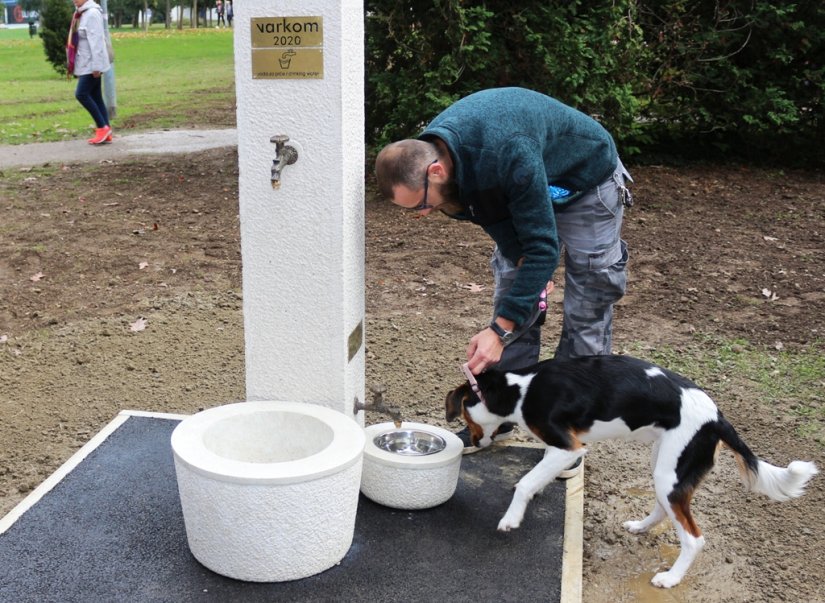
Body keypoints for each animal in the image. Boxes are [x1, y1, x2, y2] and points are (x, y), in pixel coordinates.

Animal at [448, 356, 816, 588]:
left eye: (463, 415)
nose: (474, 441)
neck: (520, 390)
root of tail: (717, 419)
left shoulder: (568, 448)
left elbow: (525, 482)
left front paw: (512, 517)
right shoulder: (560, 449)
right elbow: (537, 476)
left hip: (670, 475)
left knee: (693, 539)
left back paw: (670, 578)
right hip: (663, 467)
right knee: (664, 508)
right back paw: (641, 526)